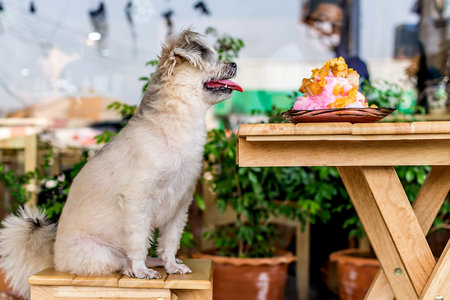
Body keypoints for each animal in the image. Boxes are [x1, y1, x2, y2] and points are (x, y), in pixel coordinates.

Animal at [0, 29, 243, 298]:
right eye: (210, 59)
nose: (234, 63)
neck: (175, 128)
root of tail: (54, 260)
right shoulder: (137, 202)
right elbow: (138, 241)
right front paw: (140, 270)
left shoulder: (179, 206)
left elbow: (170, 242)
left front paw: (170, 264)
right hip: (102, 252)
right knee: (121, 260)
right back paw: (133, 268)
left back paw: (155, 262)